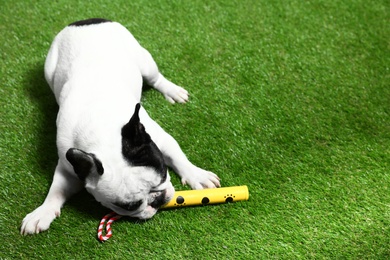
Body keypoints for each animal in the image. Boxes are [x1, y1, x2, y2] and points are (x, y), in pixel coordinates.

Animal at [21, 17, 221, 235]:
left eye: (162, 176)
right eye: (129, 206)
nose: (158, 200)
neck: (100, 130)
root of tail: (84, 21)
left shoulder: (157, 139)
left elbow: (178, 157)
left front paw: (196, 175)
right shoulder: (69, 167)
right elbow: (56, 189)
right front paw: (43, 211)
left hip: (144, 60)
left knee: (155, 77)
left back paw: (171, 90)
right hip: (49, 70)